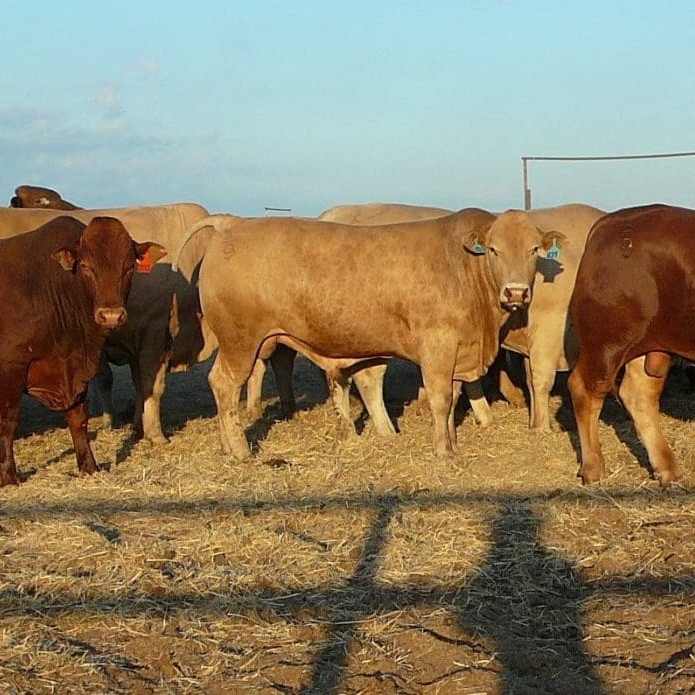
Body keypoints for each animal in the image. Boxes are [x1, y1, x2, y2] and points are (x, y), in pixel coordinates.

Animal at [0, 218, 165, 490]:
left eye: (129, 266)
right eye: (86, 266)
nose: (111, 315)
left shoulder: (77, 368)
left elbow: (79, 418)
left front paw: (89, 466)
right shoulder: (12, 366)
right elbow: (9, 421)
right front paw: (9, 476)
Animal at [572, 204, 695, 486]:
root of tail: (612, 221)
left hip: (647, 346)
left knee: (638, 394)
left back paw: (667, 470)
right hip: (606, 341)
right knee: (585, 389)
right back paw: (593, 467)